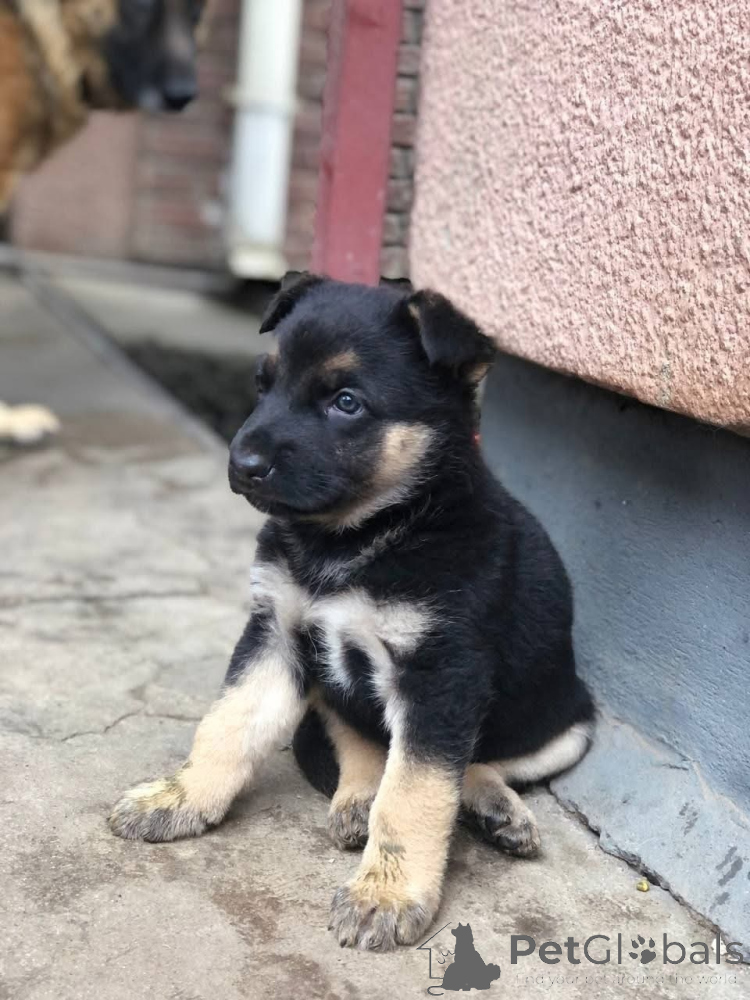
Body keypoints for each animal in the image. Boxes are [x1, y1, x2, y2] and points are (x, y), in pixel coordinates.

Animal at [109, 273, 596, 952]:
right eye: (263, 384)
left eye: (346, 402)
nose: (242, 465)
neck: (360, 537)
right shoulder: (277, 634)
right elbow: (226, 725)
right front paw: (179, 797)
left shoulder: (440, 676)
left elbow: (416, 789)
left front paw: (385, 895)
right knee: (362, 741)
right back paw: (360, 798)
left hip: (568, 723)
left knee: (472, 761)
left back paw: (493, 807)